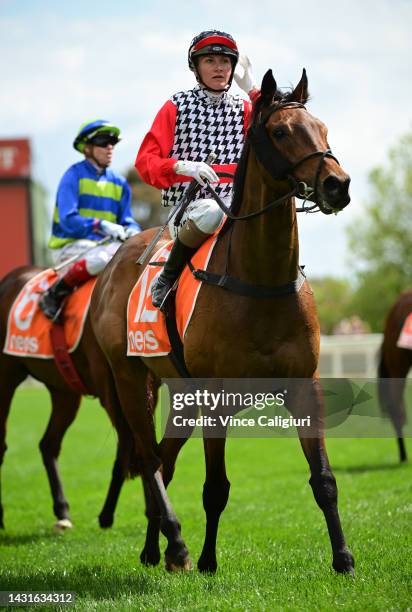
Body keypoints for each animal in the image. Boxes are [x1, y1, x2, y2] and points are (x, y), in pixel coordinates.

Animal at [91, 69, 356, 576]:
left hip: (181, 396)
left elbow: (324, 480)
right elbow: (215, 488)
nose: (338, 185)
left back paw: (154, 548)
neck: (260, 279)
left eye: (323, 127)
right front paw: (208, 561)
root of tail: (112, 267)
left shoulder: (304, 387)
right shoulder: (216, 398)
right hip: (132, 381)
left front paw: (344, 559)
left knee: (164, 460)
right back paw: (176, 545)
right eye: (281, 132)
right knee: (148, 458)